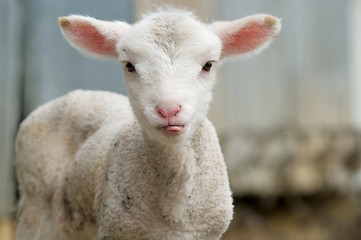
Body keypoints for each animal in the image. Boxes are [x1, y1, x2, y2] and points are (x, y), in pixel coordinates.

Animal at [15, 7, 280, 240]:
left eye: (208, 65)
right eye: (129, 65)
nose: (169, 110)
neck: (175, 212)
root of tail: (74, 95)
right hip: (36, 207)